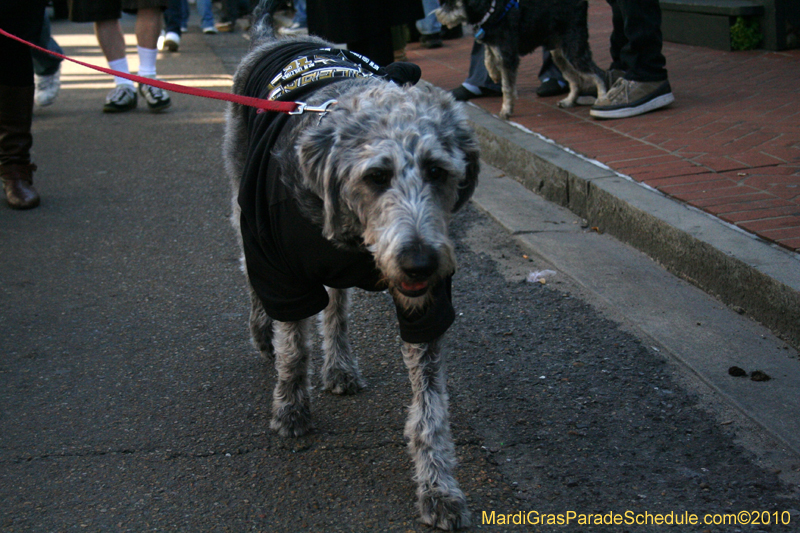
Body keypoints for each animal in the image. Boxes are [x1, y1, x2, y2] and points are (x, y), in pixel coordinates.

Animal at [222, 0, 478, 528]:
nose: (420, 263)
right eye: (377, 175)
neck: (355, 238)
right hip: (242, 204)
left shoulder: (426, 305)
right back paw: (264, 333)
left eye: (438, 171)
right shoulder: (280, 268)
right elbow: (293, 347)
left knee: (336, 305)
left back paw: (339, 365)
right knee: (253, 279)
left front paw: (438, 489)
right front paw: (290, 409)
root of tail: (271, 38)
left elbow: (430, 410)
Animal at [438, 0, 608, 117]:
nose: (439, 16)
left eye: (452, 3)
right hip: (560, 53)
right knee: (574, 79)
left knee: (599, 74)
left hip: (574, 49)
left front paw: (506, 109)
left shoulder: (508, 56)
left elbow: (506, 87)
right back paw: (569, 101)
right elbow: (487, 58)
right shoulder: (494, 46)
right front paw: (494, 74)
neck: (492, 10)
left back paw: (602, 99)